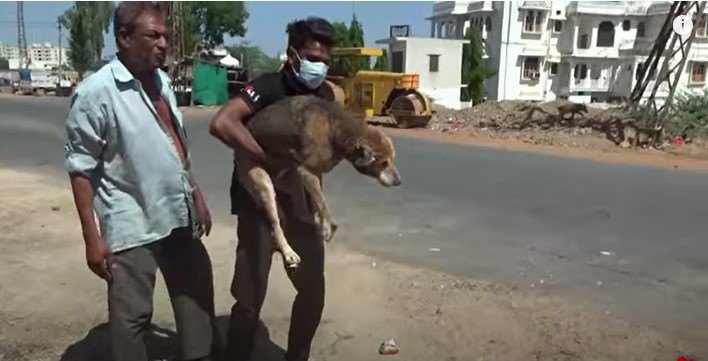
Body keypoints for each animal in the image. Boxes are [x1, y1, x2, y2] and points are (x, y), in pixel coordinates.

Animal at [236, 95, 398, 272]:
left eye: (393, 159)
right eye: (383, 163)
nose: (399, 181)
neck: (335, 127)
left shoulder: (312, 174)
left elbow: (319, 203)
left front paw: (323, 224)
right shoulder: (308, 171)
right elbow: (323, 204)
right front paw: (328, 228)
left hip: (293, 173)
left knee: (299, 210)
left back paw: (308, 221)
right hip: (265, 184)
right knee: (275, 224)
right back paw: (289, 252)